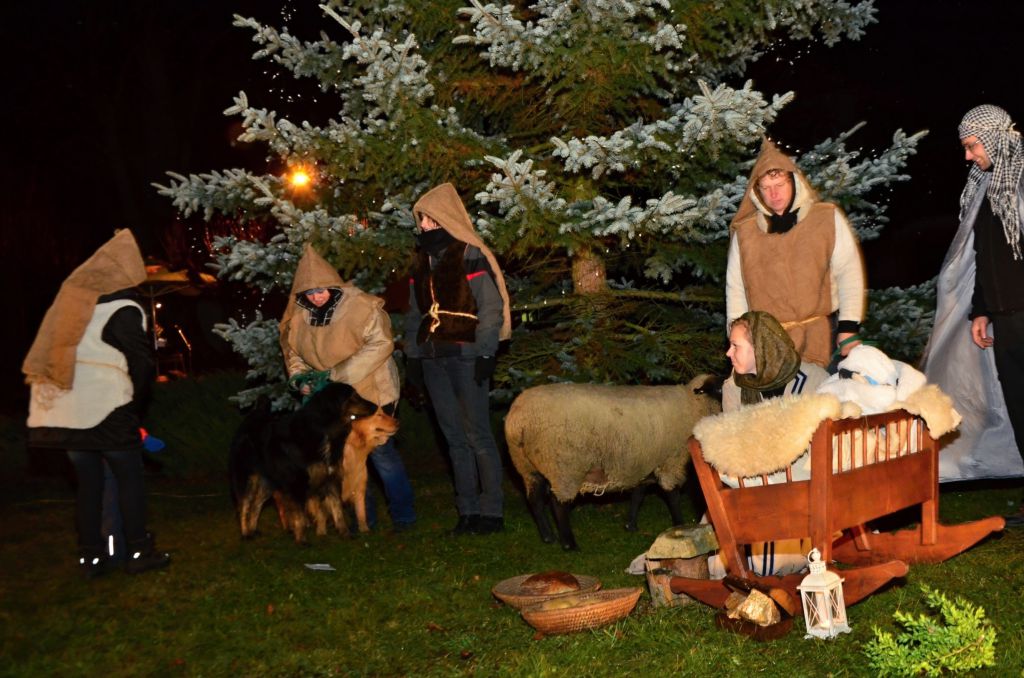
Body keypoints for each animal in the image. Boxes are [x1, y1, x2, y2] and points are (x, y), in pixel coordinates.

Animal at [229, 382, 399, 543]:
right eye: (353, 396)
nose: (376, 406)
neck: (324, 430)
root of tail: (255, 414)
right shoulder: (297, 482)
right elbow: (300, 515)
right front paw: (303, 540)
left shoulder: (331, 478)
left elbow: (337, 509)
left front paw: (345, 534)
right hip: (246, 478)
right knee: (243, 505)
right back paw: (246, 534)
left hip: (268, 481)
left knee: (256, 504)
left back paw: (253, 530)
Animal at [504, 375, 721, 550]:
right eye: (718, 389)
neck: (693, 404)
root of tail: (518, 421)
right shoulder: (671, 460)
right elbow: (672, 496)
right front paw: (680, 525)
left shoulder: (644, 462)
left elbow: (638, 494)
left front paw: (630, 525)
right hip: (564, 466)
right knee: (558, 504)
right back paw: (569, 544)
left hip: (527, 467)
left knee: (535, 501)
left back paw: (548, 537)